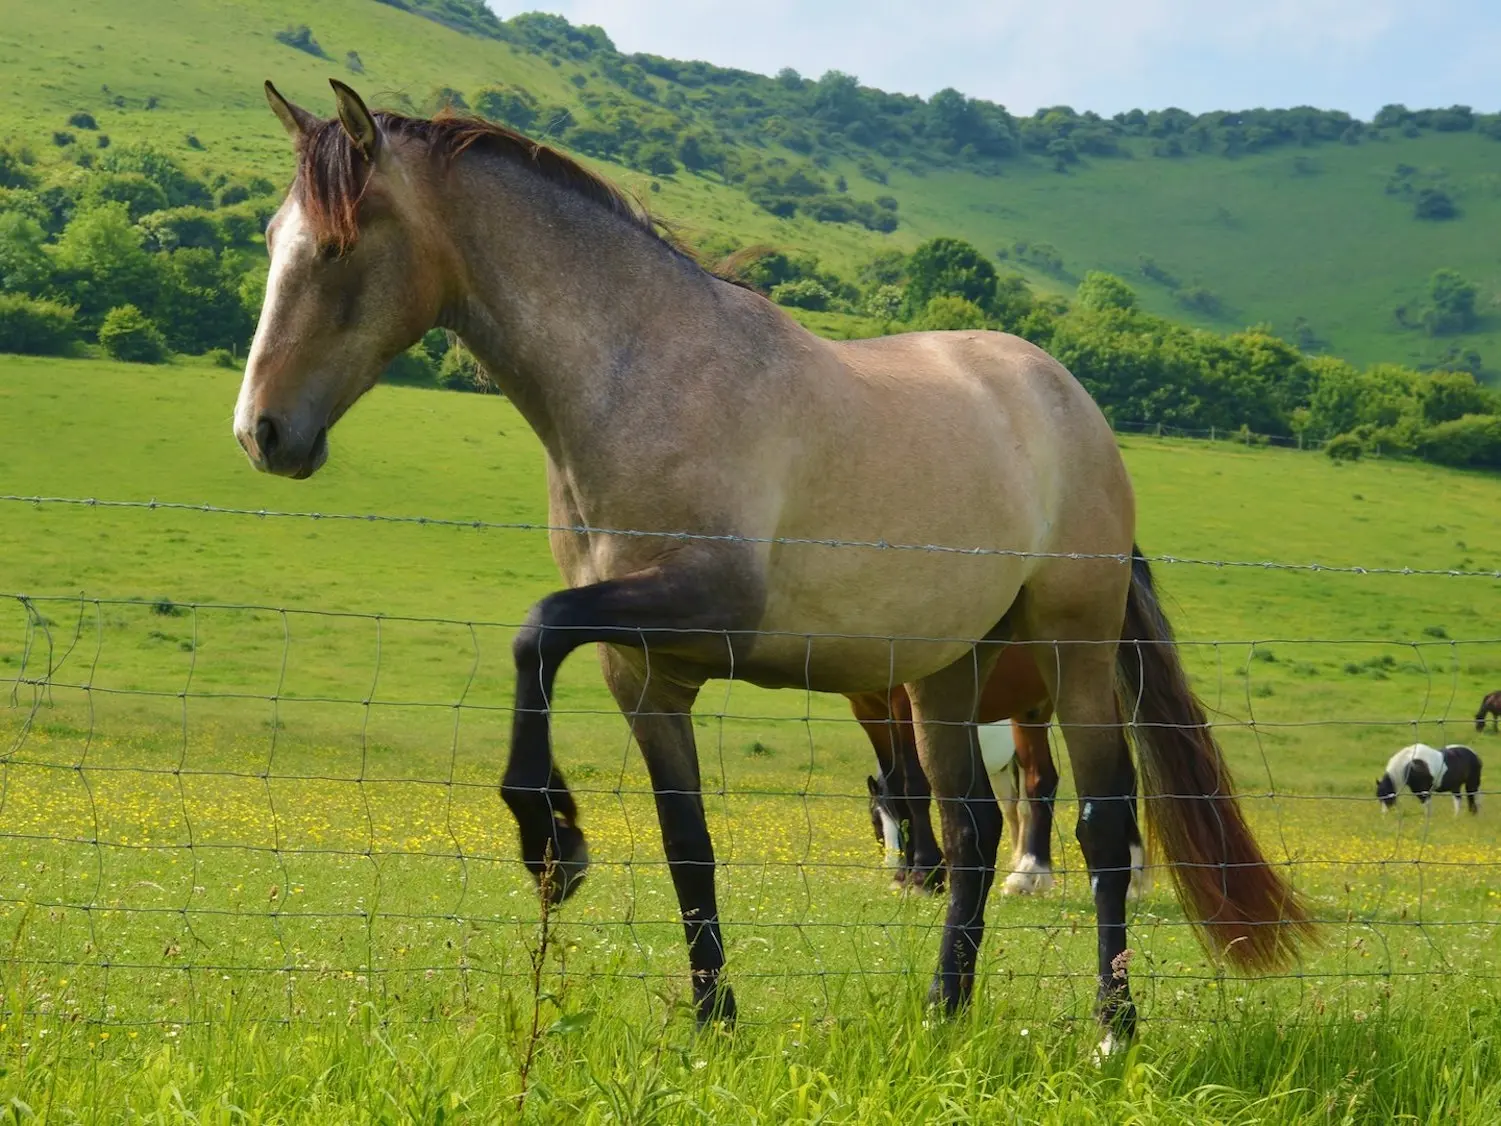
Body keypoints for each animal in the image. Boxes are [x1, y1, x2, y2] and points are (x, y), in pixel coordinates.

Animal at [234, 83, 1314, 1056]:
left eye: (336, 247)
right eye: (272, 238)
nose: (262, 433)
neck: (642, 377)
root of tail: (1068, 402)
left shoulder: (707, 606)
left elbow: (536, 629)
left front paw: (551, 845)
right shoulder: (643, 670)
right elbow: (685, 842)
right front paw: (713, 1022)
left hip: (1073, 651)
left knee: (1099, 823)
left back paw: (1111, 1031)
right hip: (944, 672)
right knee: (968, 830)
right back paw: (943, 1015)